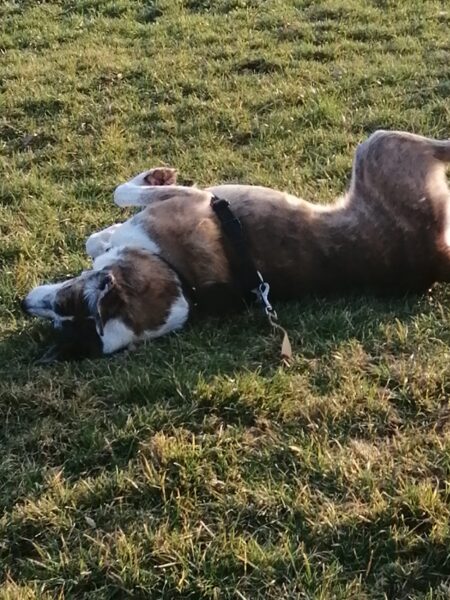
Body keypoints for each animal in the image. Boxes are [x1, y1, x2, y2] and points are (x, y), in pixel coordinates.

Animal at [22, 130, 450, 359]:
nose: (22, 304)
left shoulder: (191, 199)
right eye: (59, 320)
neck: (179, 280)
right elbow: (115, 205)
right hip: (380, 147)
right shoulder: (194, 201)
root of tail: (437, 259)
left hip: (378, 146)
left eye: (64, 299)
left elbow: (112, 210)